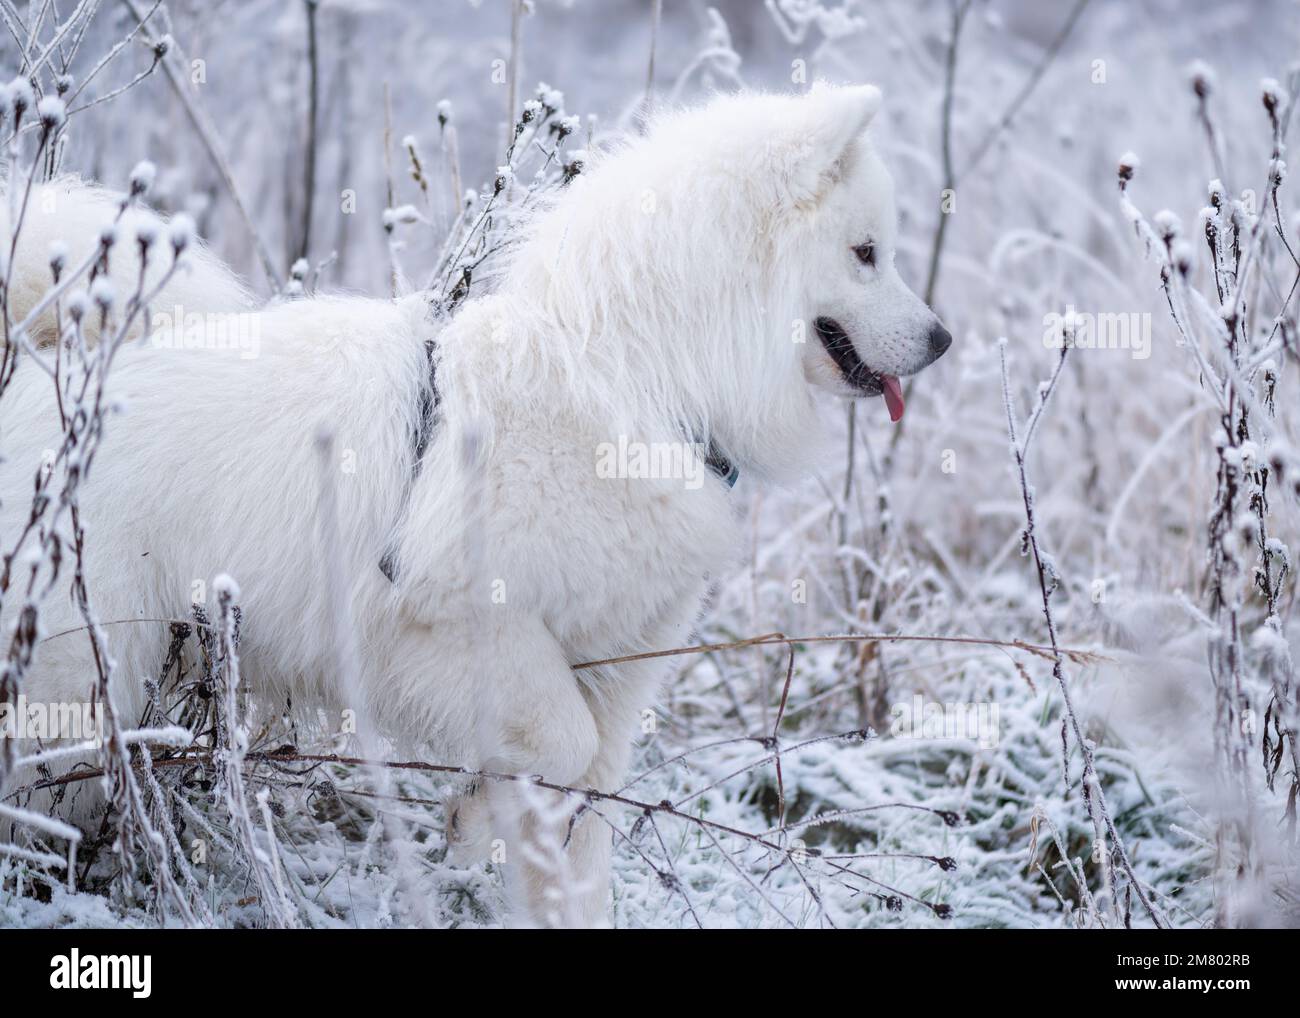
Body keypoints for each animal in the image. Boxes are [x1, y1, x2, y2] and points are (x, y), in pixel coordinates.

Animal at [2, 85, 956, 925]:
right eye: (867, 253)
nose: (944, 339)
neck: (635, 378)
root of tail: (41, 375)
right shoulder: (449, 625)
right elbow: (558, 744)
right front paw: (469, 816)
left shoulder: (612, 670)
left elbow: (580, 829)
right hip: (80, 681)